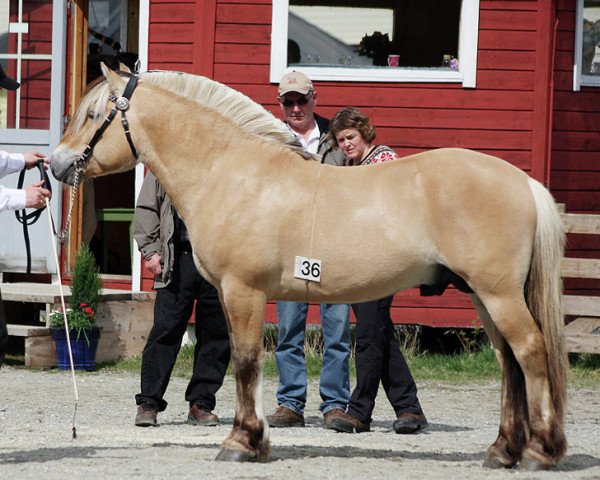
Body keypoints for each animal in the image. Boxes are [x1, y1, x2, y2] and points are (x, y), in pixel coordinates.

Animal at [51, 65, 568, 470]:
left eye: (93, 116)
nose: (56, 164)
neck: (231, 171)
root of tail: (523, 182)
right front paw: (256, 441)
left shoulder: (243, 292)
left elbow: (246, 363)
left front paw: (242, 443)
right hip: (484, 296)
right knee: (509, 363)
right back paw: (502, 451)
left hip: (498, 294)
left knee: (530, 353)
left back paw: (539, 452)